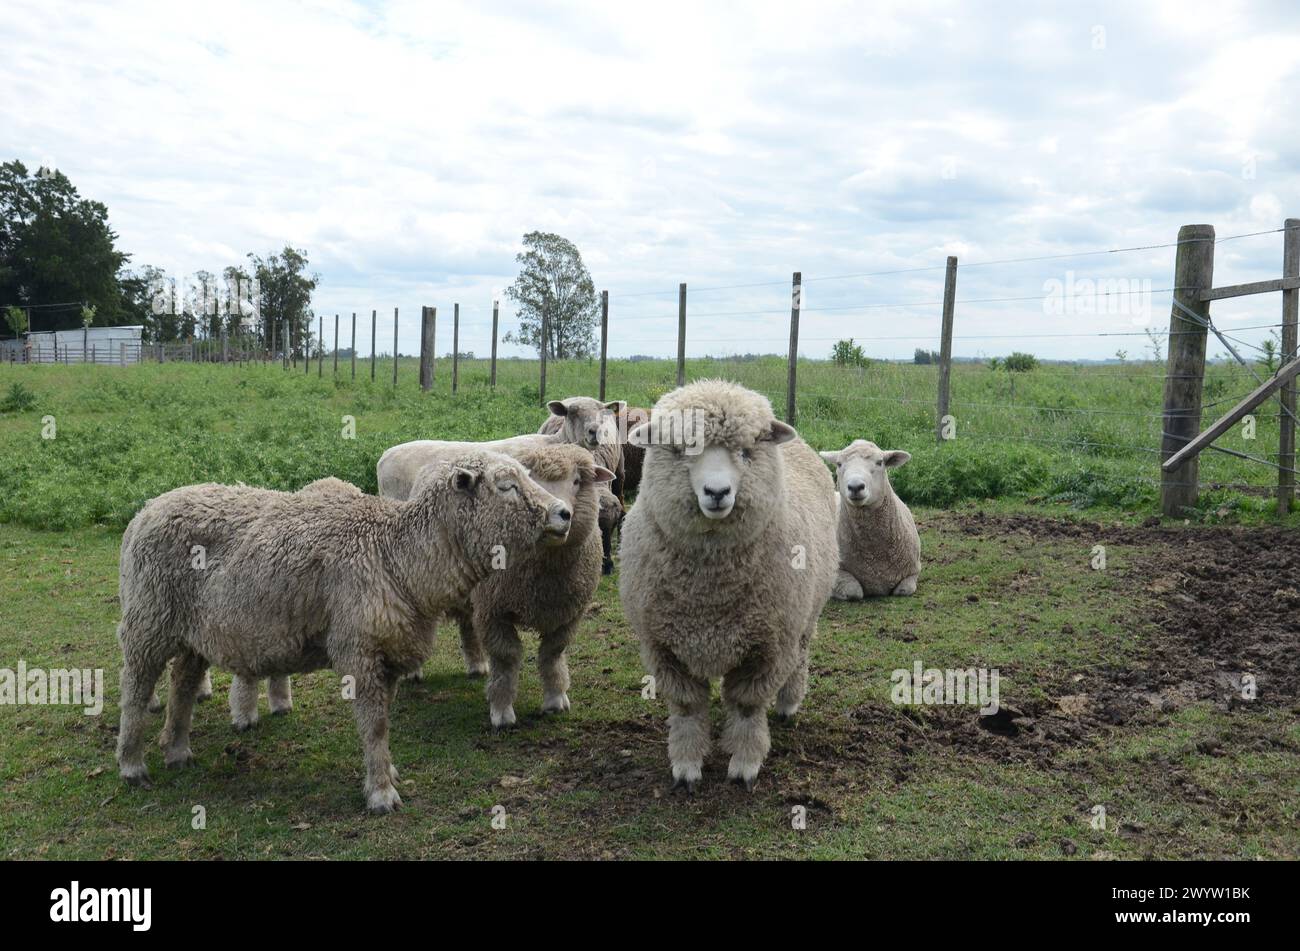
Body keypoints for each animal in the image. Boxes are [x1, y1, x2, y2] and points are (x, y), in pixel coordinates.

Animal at [114, 452, 572, 810]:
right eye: (506, 486)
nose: (563, 513)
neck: (398, 555)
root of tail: (147, 509)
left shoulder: (388, 653)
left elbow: (382, 722)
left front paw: (385, 772)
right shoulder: (360, 649)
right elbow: (374, 725)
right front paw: (382, 794)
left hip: (191, 631)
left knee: (183, 683)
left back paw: (177, 751)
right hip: (148, 619)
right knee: (136, 688)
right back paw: (132, 765)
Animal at [379, 439, 613, 727]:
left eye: (578, 480)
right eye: (529, 480)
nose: (561, 513)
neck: (546, 576)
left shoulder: (569, 613)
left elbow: (553, 652)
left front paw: (555, 699)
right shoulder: (494, 610)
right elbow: (506, 656)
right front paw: (502, 711)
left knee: (467, 623)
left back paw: (477, 665)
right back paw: (413, 673)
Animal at [616, 374, 837, 789]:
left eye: (746, 452)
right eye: (681, 450)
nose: (717, 492)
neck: (711, 592)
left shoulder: (769, 647)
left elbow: (747, 706)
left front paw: (745, 763)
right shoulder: (662, 647)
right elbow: (687, 706)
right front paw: (687, 765)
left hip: (805, 617)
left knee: (800, 657)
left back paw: (788, 704)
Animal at [816, 439, 920, 602]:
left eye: (880, 462)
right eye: (839, 464)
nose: (855, 486)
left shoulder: (913, 571)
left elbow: (904, 590)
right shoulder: (836, 573)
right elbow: (854, 591)